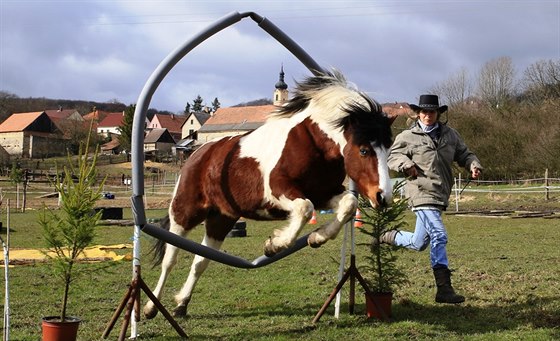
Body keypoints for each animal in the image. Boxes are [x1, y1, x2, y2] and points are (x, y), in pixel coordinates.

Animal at [144, 69, 398, 318]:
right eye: (364, 150)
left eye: (388, 149)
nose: (383, 197)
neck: (312, 143)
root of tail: (197, 155)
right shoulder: (279, 190)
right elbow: (305, 209)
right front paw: (274, 244)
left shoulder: (324, 194)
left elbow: (348, 204)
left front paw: (316, 238)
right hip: (184, 214)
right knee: (169, 259)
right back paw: (150, 308)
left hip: (220, 220)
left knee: (200, 261)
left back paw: (181, 304)